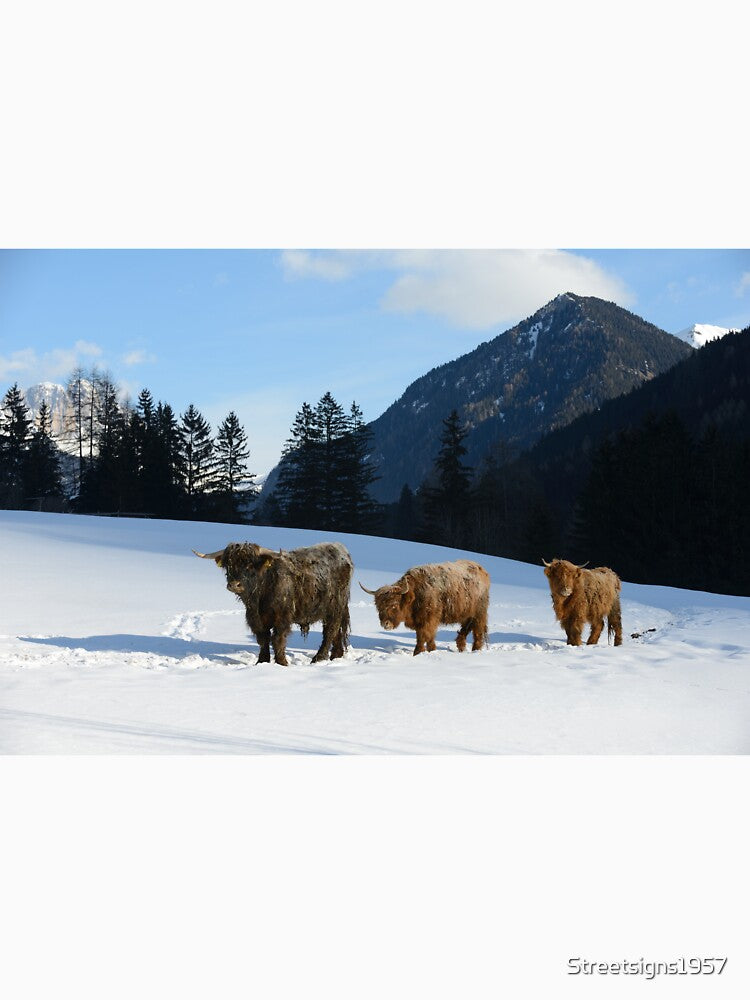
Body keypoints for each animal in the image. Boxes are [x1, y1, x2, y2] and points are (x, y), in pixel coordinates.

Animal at [193, 541, 353, 666]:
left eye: (250, 565)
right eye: (229, 564)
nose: (234, 585)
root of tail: (343, 552)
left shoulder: (282, 618)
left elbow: (277, 639)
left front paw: (282, 662)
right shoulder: (255, 619)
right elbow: (263, 639)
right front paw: (262, 661)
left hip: (335, 607)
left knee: (330, 631)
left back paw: (318, 658)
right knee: (336, 632)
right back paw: (336, 656)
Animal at [359, 559, 490, 656]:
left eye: (394, 605)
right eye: (378, 606)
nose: (385, 624)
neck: (415, 594)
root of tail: (482, 570)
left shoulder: (428, 619)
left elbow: (423, 636)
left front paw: (418, 653)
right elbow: (427, 636)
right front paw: (431, 650)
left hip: (479, 613)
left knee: (477, 631)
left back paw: (475, 650)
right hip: (467, 614)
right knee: (466, 628)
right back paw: (461, 647)